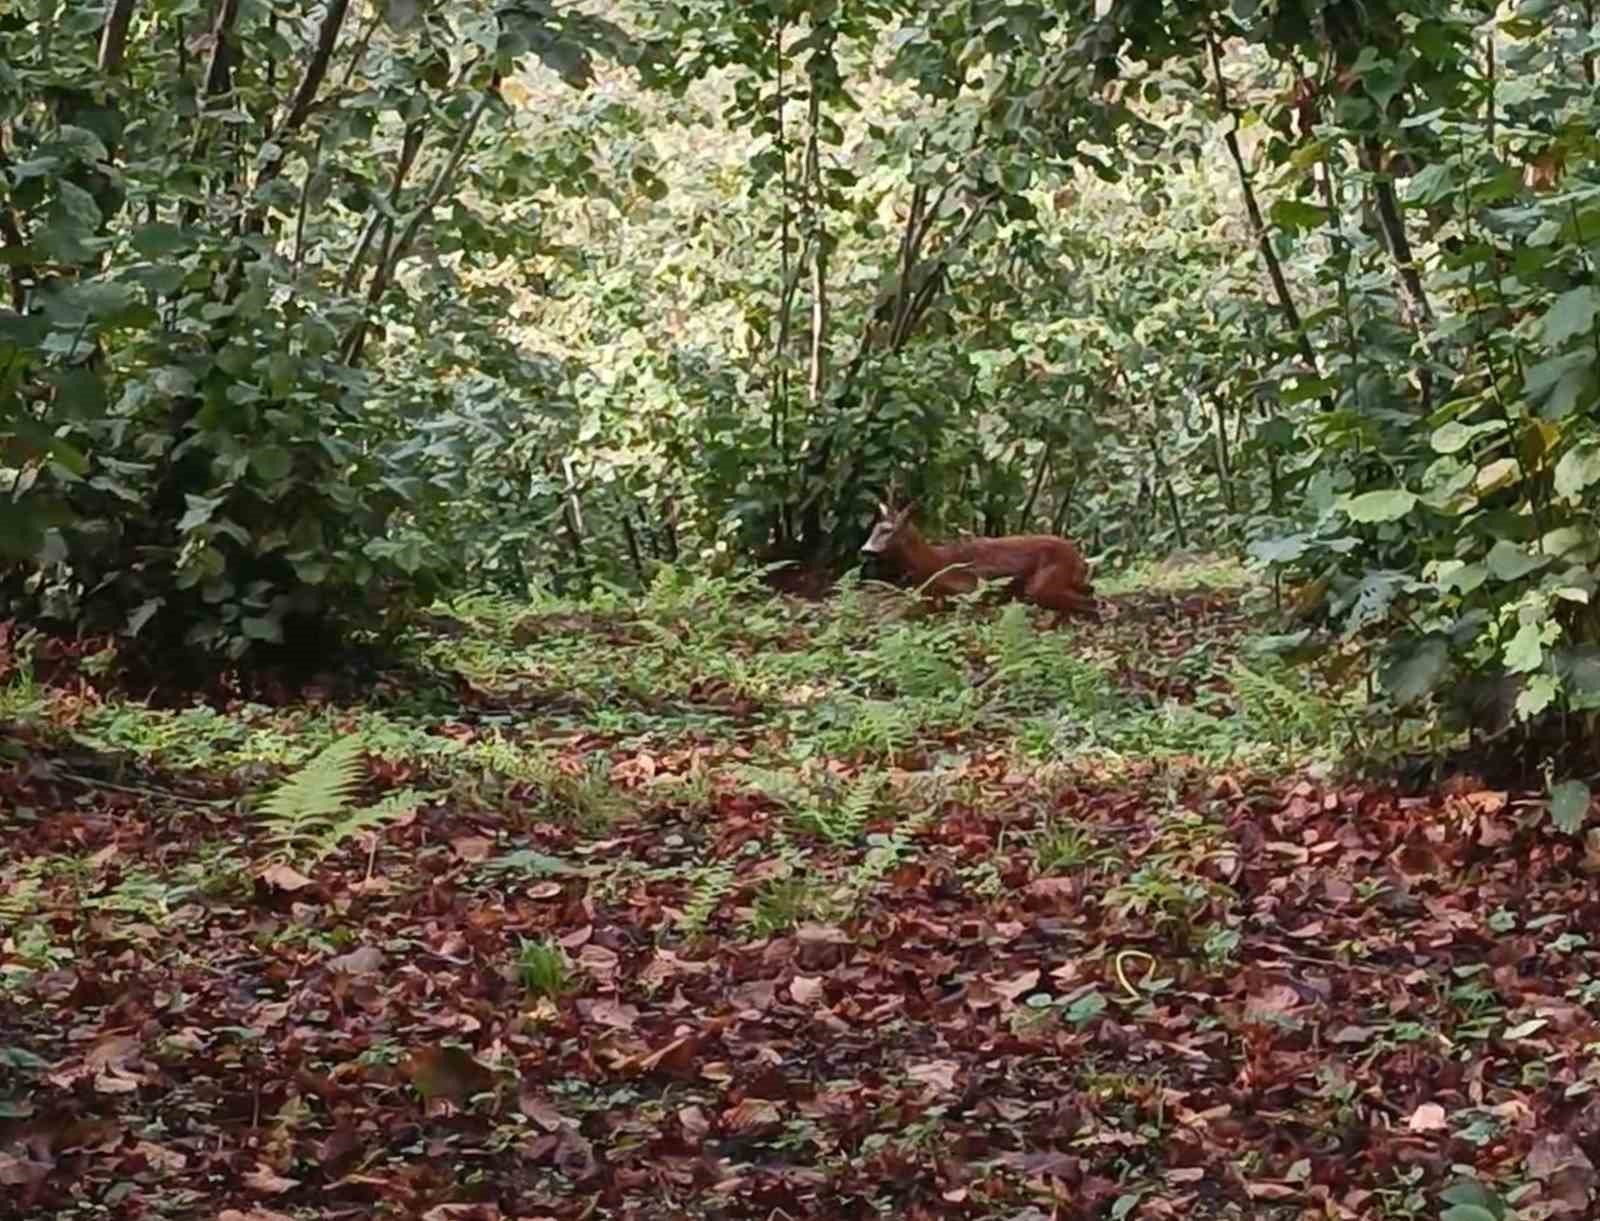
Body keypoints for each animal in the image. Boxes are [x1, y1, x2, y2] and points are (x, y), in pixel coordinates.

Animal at [864, 499, 1100, 624]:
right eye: (874, 529)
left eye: (888, 530)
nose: (866, 549)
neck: (933, 564)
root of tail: (1078, 557)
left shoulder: (972, 590)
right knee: (1090, 592)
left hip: (1043, 582)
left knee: (1090, 602)